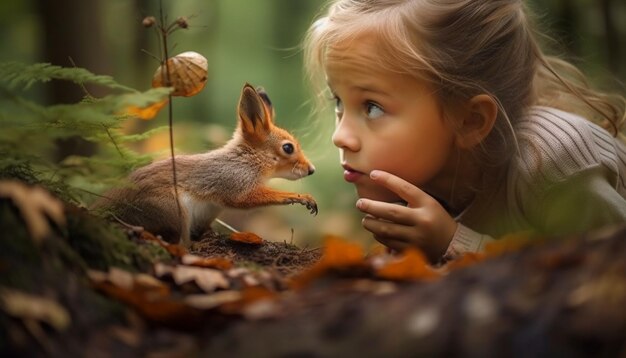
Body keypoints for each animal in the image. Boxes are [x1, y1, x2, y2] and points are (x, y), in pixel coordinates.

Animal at [96, 83, 316, 245]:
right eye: (287, 148)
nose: (311, 170)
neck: (248, 158)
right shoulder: (234, 182)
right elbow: (250, 198)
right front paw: (300, 197)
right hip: (170, 210)